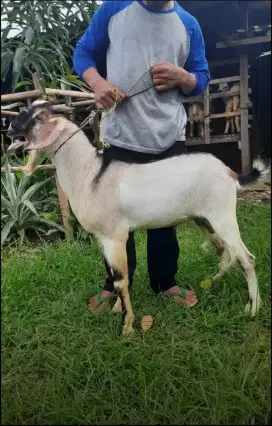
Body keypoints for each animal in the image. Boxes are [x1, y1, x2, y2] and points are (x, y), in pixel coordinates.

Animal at [7, 100, 270, 336]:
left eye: (38, 117)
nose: (9, 127)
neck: (90, 175)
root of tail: (230, 172)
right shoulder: (104, 238)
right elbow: (117, 277)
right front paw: (115, 308)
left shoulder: (114, 236)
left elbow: (120, 281)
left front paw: (126, 327)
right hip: (204, 218)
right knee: (226, 252)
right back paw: (214, 281)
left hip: (222, 215)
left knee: (246, 257)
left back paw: (253, 308)